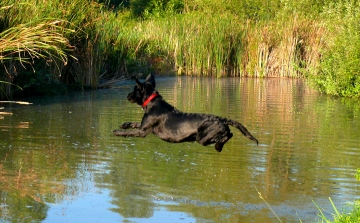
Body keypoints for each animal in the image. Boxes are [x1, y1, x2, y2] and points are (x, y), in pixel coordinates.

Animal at [114, 73, 258, 152]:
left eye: (135, 89)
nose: (127, 96)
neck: (152, 102)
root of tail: (221, 119)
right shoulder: (144, 126)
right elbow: (134, 123)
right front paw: (124, 124)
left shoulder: (143, 132)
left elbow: (129, 133)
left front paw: (117, 131)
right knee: (229, 134)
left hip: (203, 138)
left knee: (227, 135)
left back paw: (218, 146)